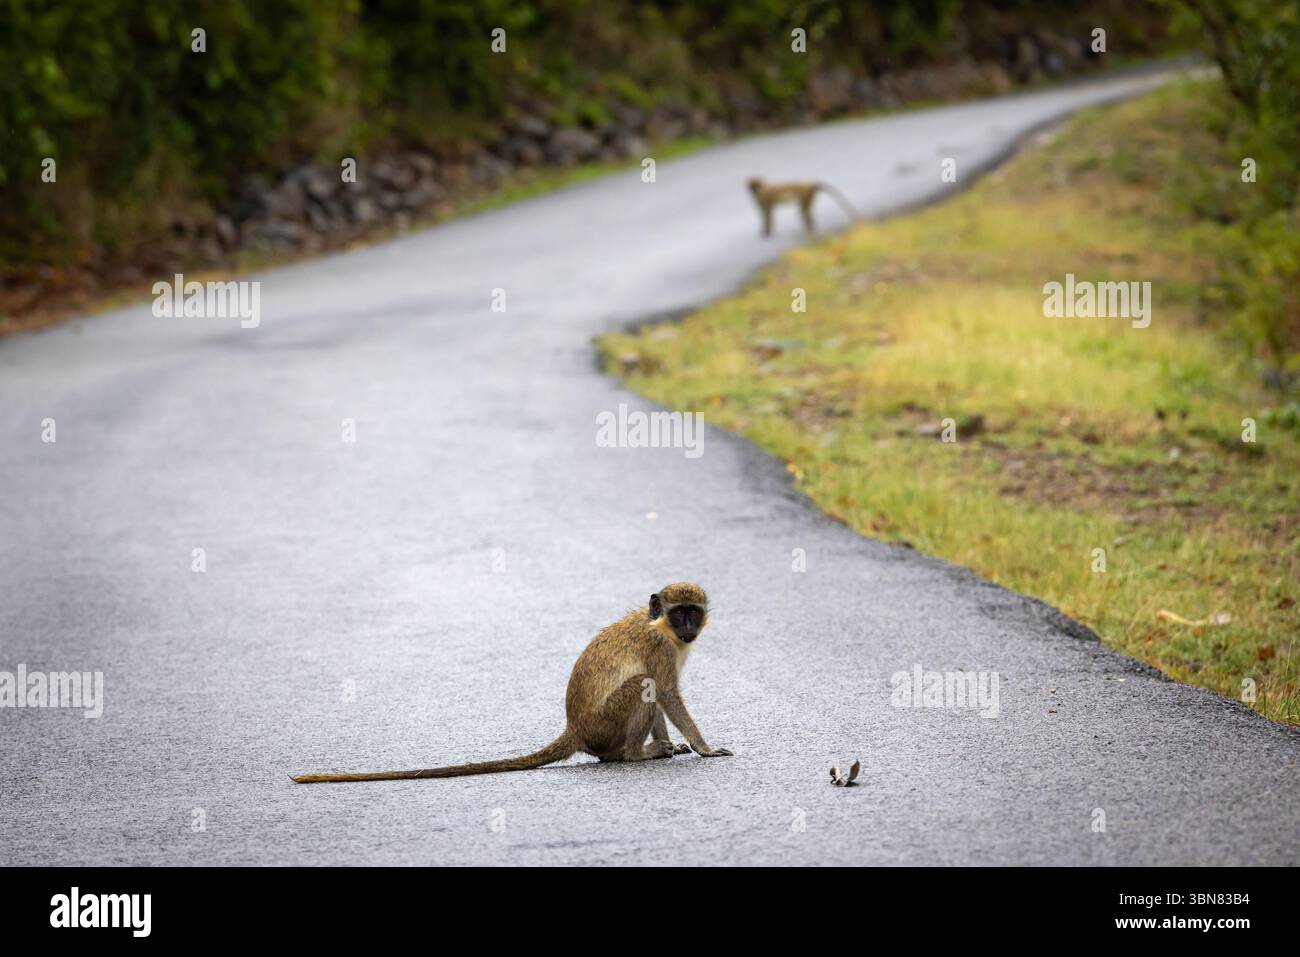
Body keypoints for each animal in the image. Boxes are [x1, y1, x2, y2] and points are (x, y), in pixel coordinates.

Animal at [292, 582, 732, 783]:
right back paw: (633, 755)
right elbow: (666, 692)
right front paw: (704, 748)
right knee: (644, 685)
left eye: (694, 612)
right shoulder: (660, 649)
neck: (660, 626)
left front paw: (677, 744)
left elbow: (665, 698)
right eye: (679, 613)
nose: (689, 628)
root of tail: (575, 728)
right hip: (605, 724)